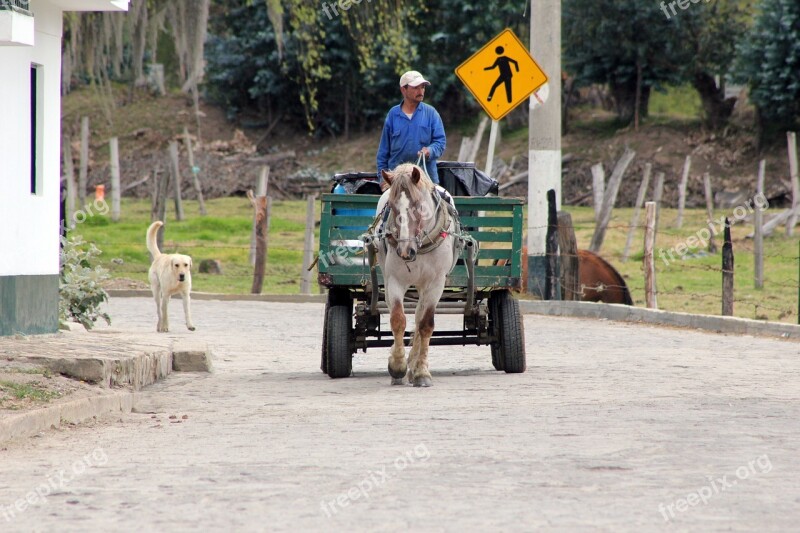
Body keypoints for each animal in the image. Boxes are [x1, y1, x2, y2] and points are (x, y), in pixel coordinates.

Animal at [376, 163, 456, 386]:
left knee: (420, 316)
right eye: (392, 206)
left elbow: (425, 324)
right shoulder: (394, 280)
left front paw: (421, 372)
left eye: (419, 206)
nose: (405, 251)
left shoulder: (436, 283)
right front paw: (397, 366)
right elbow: (398, 319)